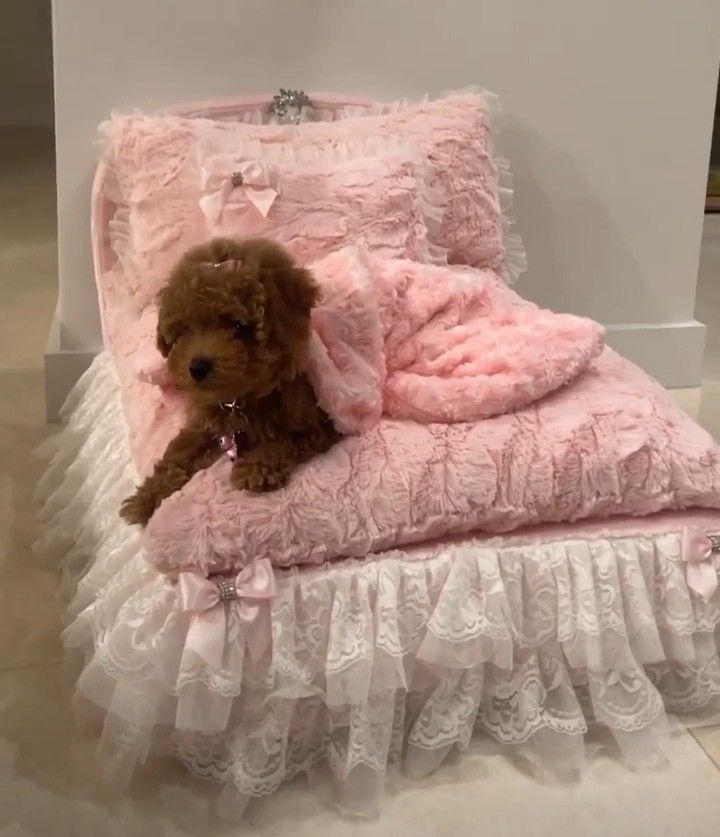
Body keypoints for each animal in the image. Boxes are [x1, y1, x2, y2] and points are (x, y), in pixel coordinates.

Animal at [120, 235, 338, 524]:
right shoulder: (205, 423)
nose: (197, 367)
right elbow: (180, 450)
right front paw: (147, 495)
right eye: (184, 331)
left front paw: (255, 467)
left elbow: (282, 440)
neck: (241, 399)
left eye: (237, 325)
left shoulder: (317, 424)